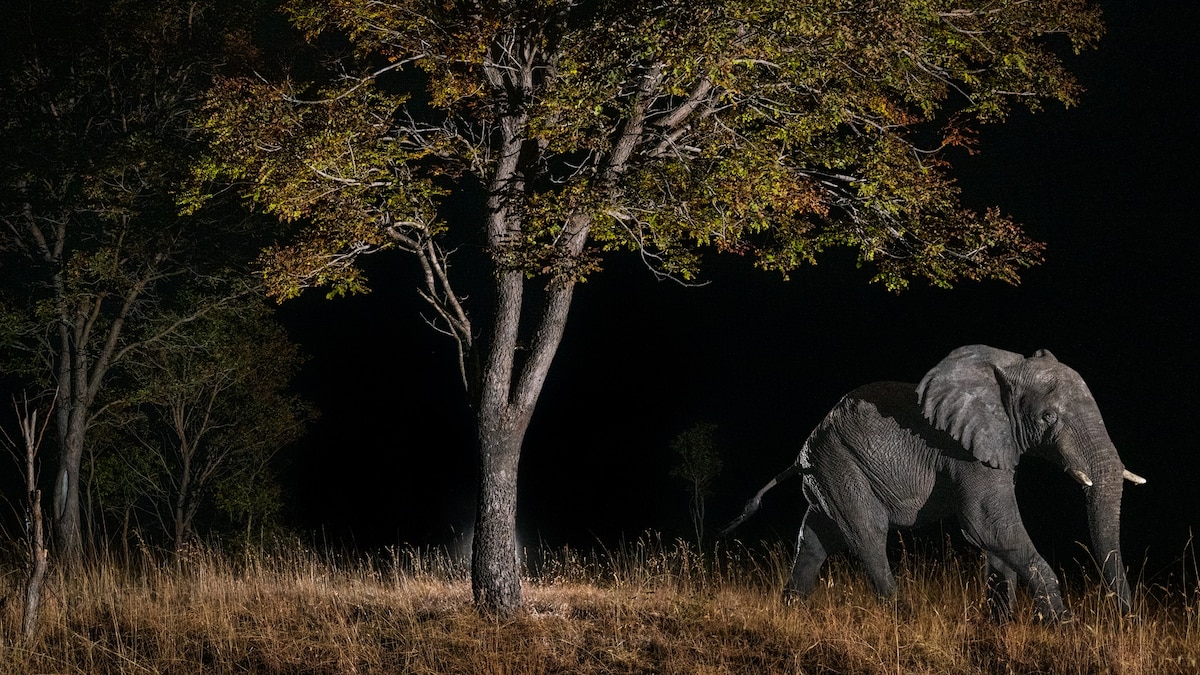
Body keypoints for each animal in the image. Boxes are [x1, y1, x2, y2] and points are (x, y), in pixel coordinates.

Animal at [722, 345, 1145, 621]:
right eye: (1048, 418)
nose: (1125, 620)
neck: (1006, 369)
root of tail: (800, 457)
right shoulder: (963, 449)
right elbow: (987, 524)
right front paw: (1064, 626)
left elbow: (996, 537)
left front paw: (1000, 626)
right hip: (840, 463)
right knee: (867, 533)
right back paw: (903, 617)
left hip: (826, 473)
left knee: (813, 540)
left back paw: (791, 612)